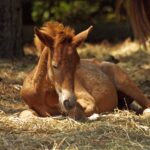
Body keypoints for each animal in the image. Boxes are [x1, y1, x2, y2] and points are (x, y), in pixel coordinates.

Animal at [20, 21, 150, 119]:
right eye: (54, 65)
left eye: (77, 64)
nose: (69, 102)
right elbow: (26, 114)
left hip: (127, 85)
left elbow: (78, 112)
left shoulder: (87, 100)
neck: (42, 93)